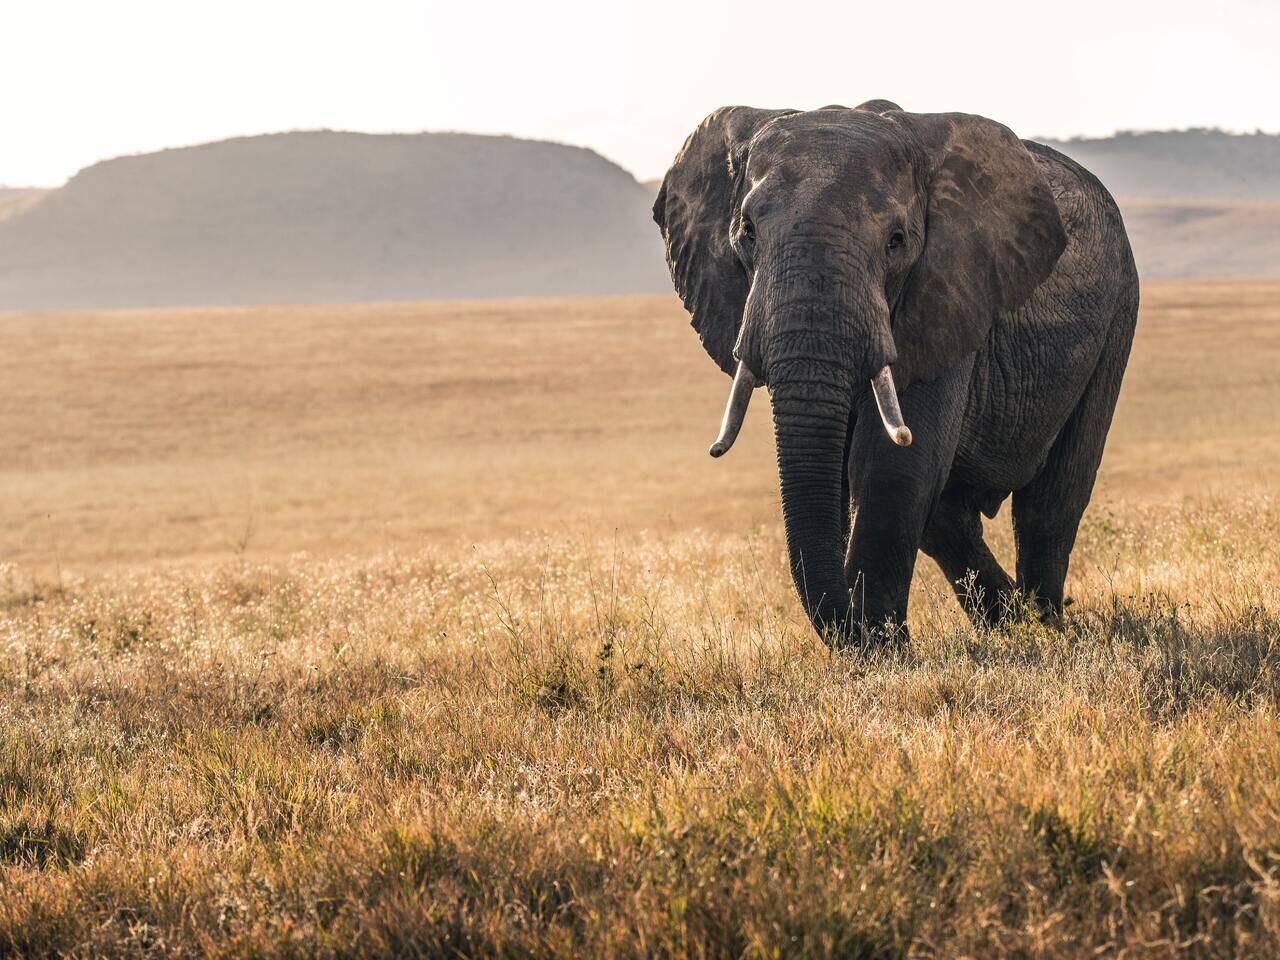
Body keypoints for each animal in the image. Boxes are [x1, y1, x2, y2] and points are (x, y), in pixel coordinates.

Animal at [655, 99, 1136, 647]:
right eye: (747, 232)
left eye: (897, 241)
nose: (854, 628)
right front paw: (877, 643)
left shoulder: (946, 293)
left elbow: (892, 466)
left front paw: (883, 650)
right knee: (949, 516)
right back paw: (1010, 624)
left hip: (1119, 312)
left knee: (1051, 501)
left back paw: (1045, 627)